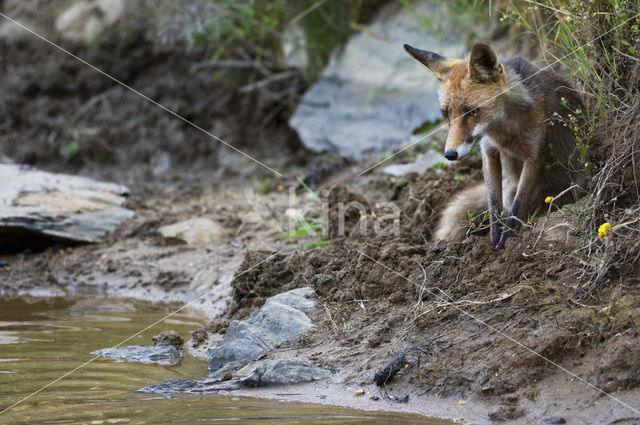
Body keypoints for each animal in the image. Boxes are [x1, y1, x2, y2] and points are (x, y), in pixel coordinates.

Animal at [404, 42, 584, 248]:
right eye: (446, 114)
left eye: (472, 112)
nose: (450, 154)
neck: (504, 133)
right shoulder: (488, 150)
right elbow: (493, 203)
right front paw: (495, 238)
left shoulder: (535, 154)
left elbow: (518, 206)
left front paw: (506, 241)